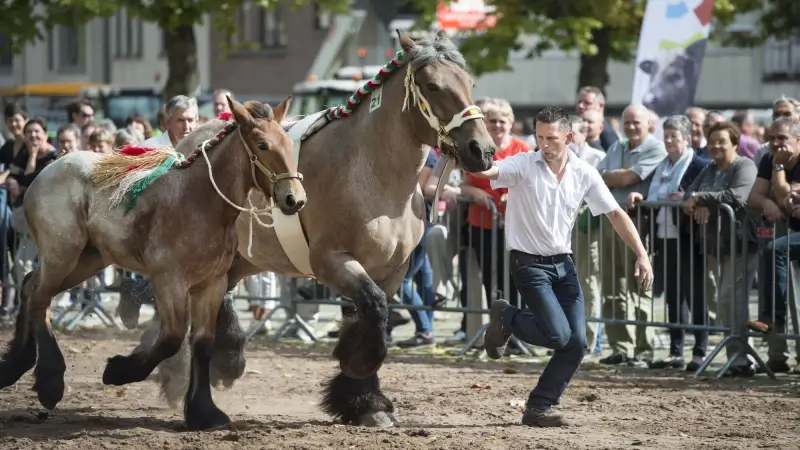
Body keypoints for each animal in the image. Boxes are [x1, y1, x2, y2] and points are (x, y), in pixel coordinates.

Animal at [0, 96, 306, 430]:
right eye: (262, 145)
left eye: (288, 144)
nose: (295, 199)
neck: (200, 201)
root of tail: (50, 167)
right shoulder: (168, 280)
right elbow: (172, 338)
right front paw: (118, 371)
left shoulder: (211, 284)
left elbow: (202, 343)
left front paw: (203, 411)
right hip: (62, 254)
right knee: (40, 299)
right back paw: (50, 382)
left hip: (87, 260)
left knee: (29, 286)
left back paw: (15, 365)